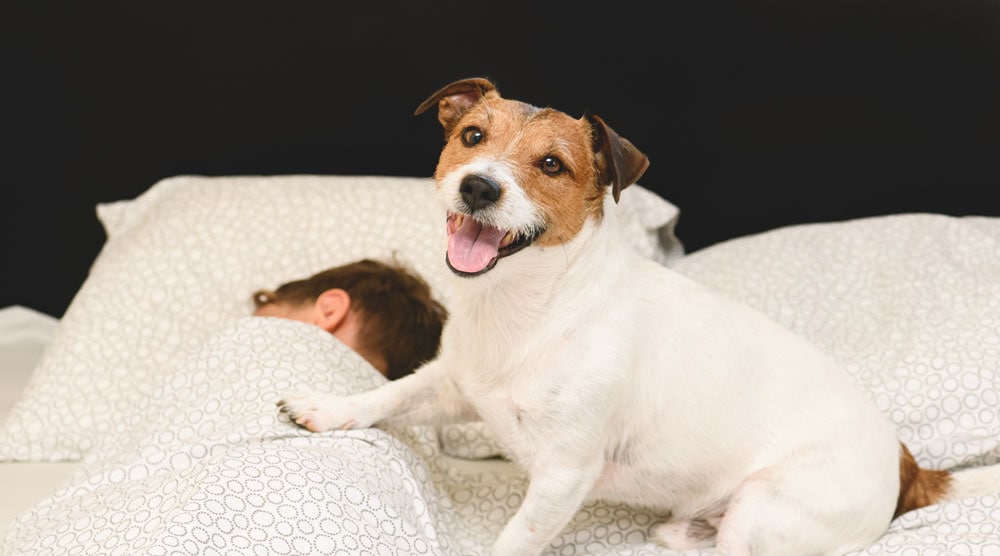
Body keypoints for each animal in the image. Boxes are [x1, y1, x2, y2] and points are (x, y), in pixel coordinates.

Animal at [278, 78, 1000, 556]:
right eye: (471, 137)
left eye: (551, 164)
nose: (478, 186)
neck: (529, 311)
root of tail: (908, 467)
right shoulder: (454, 383)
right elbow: (388, 396)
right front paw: (325, 408)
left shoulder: (562, 479)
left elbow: (514, 539)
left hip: (766, 510)